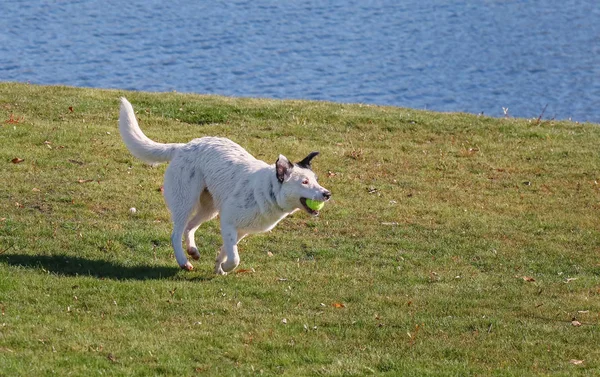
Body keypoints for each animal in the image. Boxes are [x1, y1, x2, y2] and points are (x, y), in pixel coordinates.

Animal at [117, 97, 332, 274]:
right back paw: (183, 261)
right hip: (185, 201)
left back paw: (192, 250)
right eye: (304, 182)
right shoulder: (228, 222)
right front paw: (227, 267)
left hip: (209, 208)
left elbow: (226, 250)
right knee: (176, 233)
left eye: (316, 179)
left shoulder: (240, 230)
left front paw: (218, 266)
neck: (267, 191)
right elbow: (234, 257)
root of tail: (184, 146)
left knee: (190, 227)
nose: (327, 194)